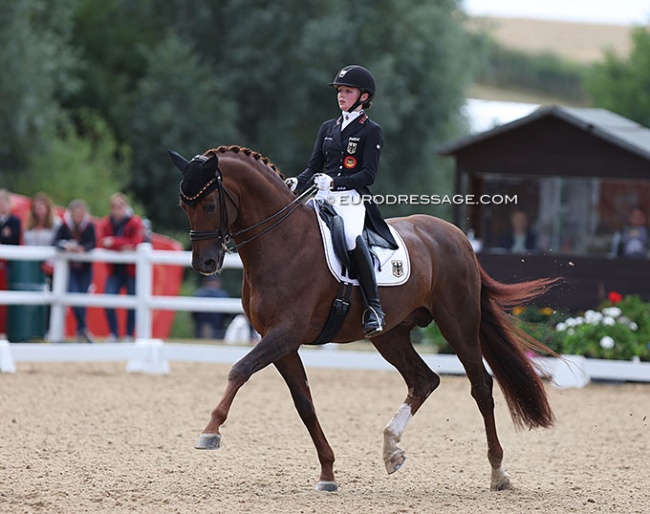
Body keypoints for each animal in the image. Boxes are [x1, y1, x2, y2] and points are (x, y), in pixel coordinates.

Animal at [170, 143, 556, 488]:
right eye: (183, 205)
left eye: (209, 203)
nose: (205, 264)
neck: (282, 240)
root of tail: (457, 236)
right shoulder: (280, 341)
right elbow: (304, 403)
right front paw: (327, 473)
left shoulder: (286, 332)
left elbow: (240, 369)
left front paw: (210, 431)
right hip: (391, 334)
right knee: (423, 380)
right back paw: (391, 451)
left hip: (458, 323)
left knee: (481, 387)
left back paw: (498, 472)